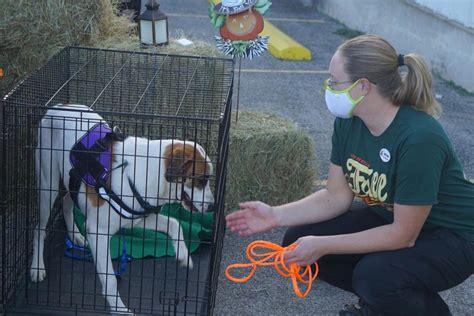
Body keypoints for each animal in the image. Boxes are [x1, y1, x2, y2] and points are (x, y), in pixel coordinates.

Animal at [30, 104, 215, 314]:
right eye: (201, 179)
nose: (212, 205)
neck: (148, 170)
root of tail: (59, 106)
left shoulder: (139, 218)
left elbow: (174, 223)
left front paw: (183, 254)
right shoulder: (98, 233)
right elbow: (110, 280)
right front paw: (119, 309)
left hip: (73, 183)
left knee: (67, 201)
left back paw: (75, 235)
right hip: (48, 185)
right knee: (39, 228)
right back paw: (37, 267)